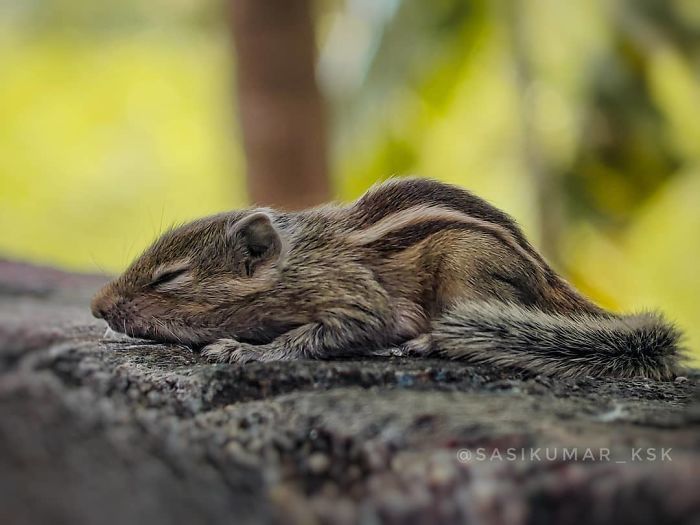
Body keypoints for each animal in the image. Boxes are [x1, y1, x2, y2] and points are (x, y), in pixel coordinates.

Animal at [90, 178, 680, 378]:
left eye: (168, 278)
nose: (97, 306)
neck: (295, 260)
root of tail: (544, 274)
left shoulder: (350, 294)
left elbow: (335, 329)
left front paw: (244, 350)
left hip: (466, 275)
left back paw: (422, 344)